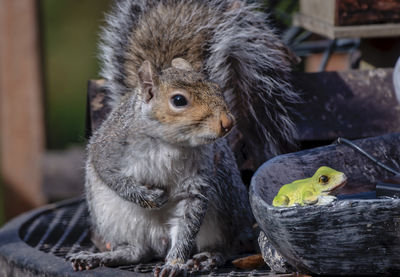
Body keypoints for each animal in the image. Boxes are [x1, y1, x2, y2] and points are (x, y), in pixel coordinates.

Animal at [67, 1, 298, 274]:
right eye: (178, 100)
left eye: (217, 89)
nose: (227, 122)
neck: (167, 143)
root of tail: (159, 240)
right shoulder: (108, 148)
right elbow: (110, 174)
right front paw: (147, 196)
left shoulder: (196, 182)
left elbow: (187, 224)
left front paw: (175, 264)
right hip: (115, 217)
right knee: (137, 252)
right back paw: (100, 257)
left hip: (221, 210)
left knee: (223, 246)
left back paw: (207, 257)